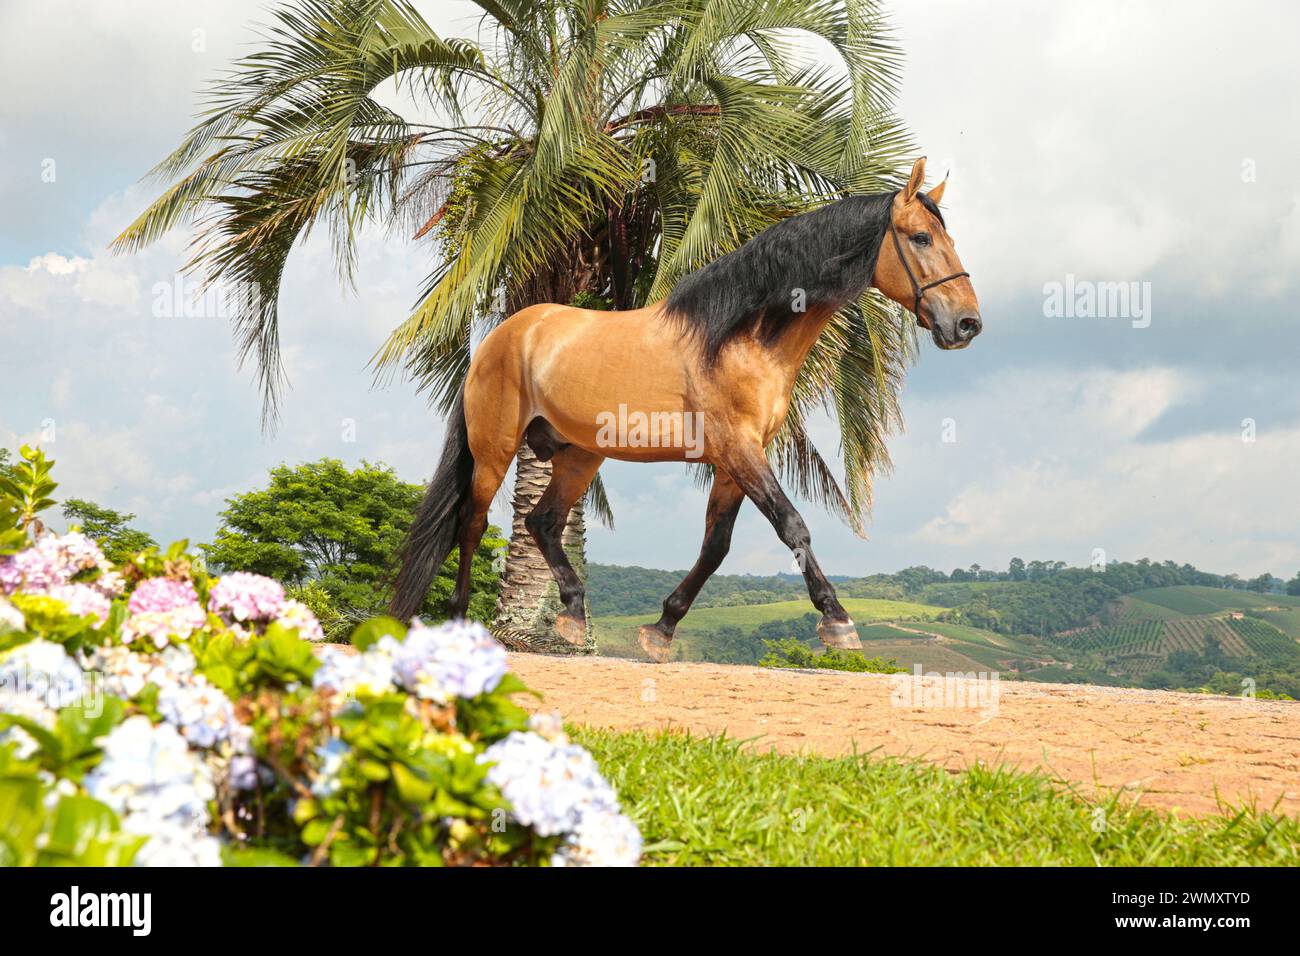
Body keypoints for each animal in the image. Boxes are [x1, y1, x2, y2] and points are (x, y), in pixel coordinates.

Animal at [390, 157, 982, 662]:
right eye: (921, 237)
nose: (967, 324)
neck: (740, 336)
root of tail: (502, 337)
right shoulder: (738, 448)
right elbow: (792, 526)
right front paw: (837, 621)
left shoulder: (735, 459)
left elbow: (716, 545)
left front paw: (661, 629)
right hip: (495, 451)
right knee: (471, 524)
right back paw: (461, 622)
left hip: (580, 455)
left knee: (544, 522)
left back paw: (574, 618)